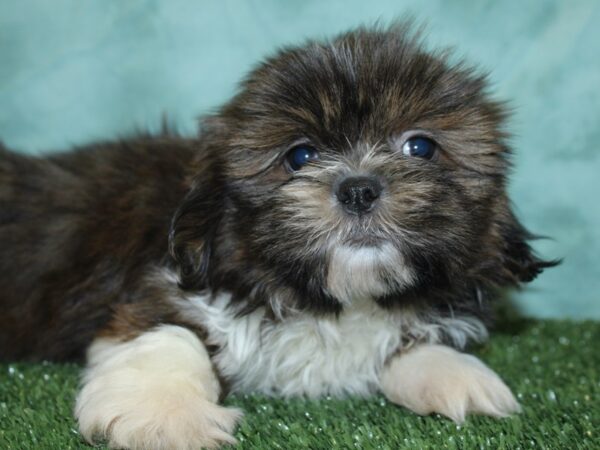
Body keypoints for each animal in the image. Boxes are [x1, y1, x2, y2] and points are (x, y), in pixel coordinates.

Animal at [0, 23, 556, 450]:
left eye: (419, 147)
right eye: (300, 156)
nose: (358, 188)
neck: (333, 301)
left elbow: (408, 340)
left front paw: (454, 372)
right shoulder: (163, 284)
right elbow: (170, 333)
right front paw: (165, 415)